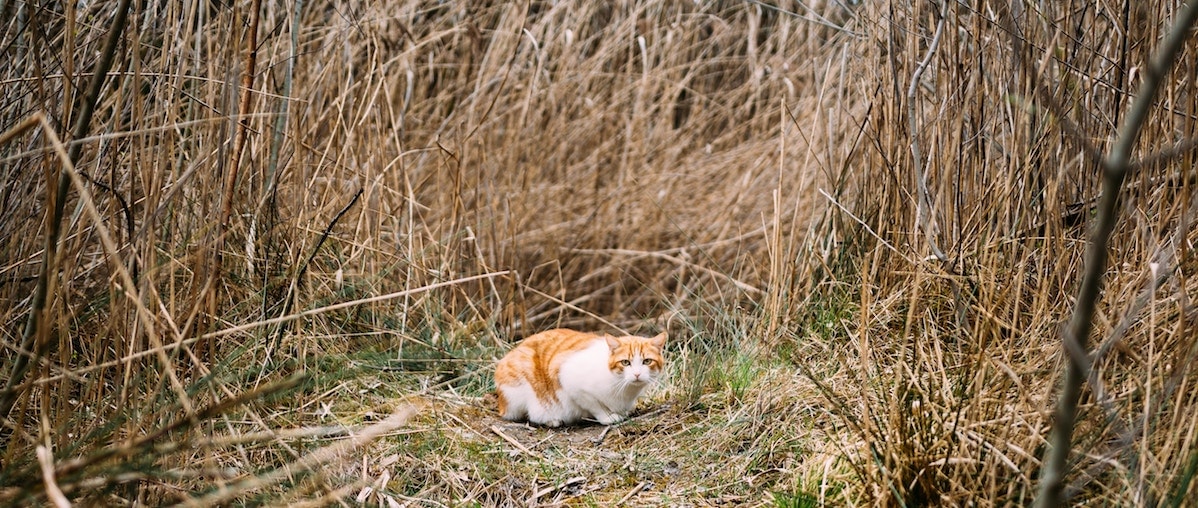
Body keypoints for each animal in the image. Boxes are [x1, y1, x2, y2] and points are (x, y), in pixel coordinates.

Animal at [493, 328, 666, 426]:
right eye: (625, 362)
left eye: (647, 361)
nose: (637, 374)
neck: (624, 388)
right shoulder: (570, 380)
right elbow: (596, 406)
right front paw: (608, 417)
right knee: (532, 415)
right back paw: (552, 420)